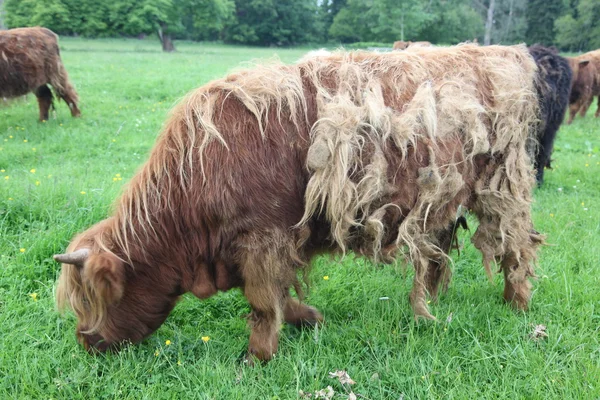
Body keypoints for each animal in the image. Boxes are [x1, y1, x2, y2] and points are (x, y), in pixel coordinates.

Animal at [55, 43, 544, 362]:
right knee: (438, 253)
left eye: (93, 301)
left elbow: (261, 300)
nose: (86, 343)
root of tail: (506, 53)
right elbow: (280, 293)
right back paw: (435, 303)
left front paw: (257, 357)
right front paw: (310, 318)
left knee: (518, 246)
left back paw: (517, 305)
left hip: (503, 188)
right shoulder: (270, 244)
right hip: (441, 200)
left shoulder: (262, 239)